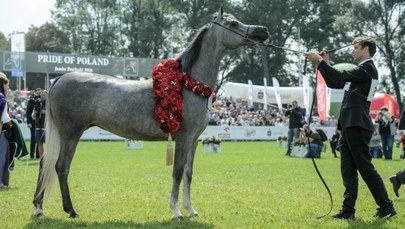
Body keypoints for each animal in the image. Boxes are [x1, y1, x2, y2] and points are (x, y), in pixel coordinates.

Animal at [33, 6, 266, 218]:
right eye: (233, 24)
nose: (262, 31)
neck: (188, 84)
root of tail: (60, 78)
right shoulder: (183, 138)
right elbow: (177, 172)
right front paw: (176, 211)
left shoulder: (194, 140)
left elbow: (188, 174)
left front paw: (190, 209)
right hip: (70, 134)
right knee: (61, 167)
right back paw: (70, 210)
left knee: (45, 163)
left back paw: (38, 207)